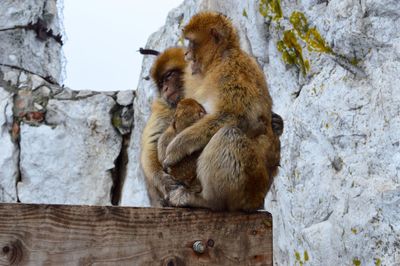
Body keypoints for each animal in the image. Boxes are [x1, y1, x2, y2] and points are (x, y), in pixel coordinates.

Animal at [162, 12, 282, 211]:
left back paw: (209, 202)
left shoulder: (232, 69)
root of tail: (259, 200)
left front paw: (175, 149)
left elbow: (238, 117)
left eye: (191, 42)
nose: (186, 54)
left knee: (228, 134)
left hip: (251, 187)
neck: (217, 60)